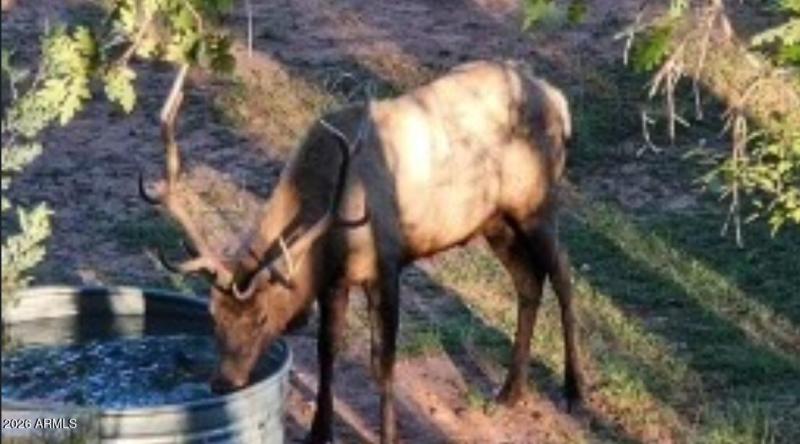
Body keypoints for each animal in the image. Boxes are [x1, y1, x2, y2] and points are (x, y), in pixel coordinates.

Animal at [140, 60, 583, 444]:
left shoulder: (387, 264)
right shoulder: (334, 280)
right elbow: (327, 351)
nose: (223, 382)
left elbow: (382, 361)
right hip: (495, 221)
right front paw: (318, 432)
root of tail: (558, 98)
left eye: (263, 316)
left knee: (562, 274)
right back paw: (511, 390)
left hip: (537, 204)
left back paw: (574, 391)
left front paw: (388, 435)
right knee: (529, 281)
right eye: (213, 314)